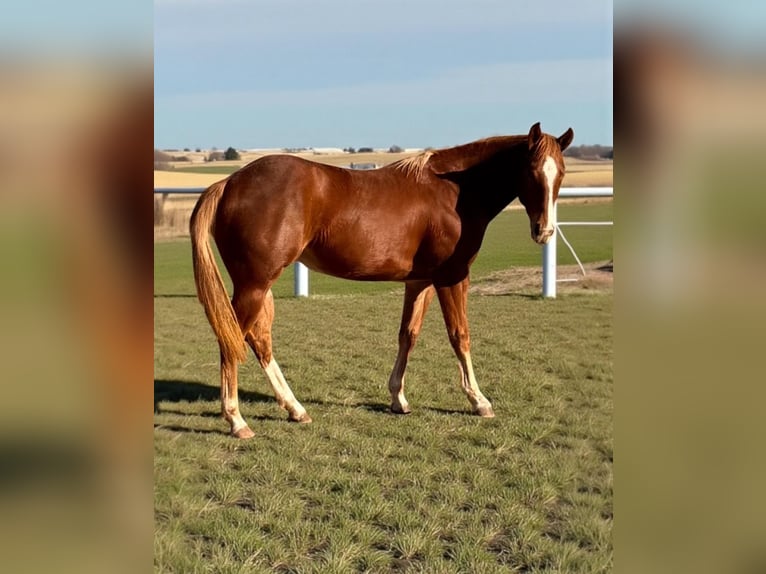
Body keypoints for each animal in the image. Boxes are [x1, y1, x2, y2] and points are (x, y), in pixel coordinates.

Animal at [190, 122, 573, 438]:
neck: (455, 192)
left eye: (561, 173)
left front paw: (398, 399)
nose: (544, 231)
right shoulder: (452, 278)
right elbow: (459, 336)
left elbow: (408, 335)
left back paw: (295, 409)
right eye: (531, 171)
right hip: (254, 285)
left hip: (258, 286)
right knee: (231, 340)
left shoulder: (419, 282)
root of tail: (229, 183)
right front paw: (479, 401)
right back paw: (237, 420)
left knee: (258, 340)